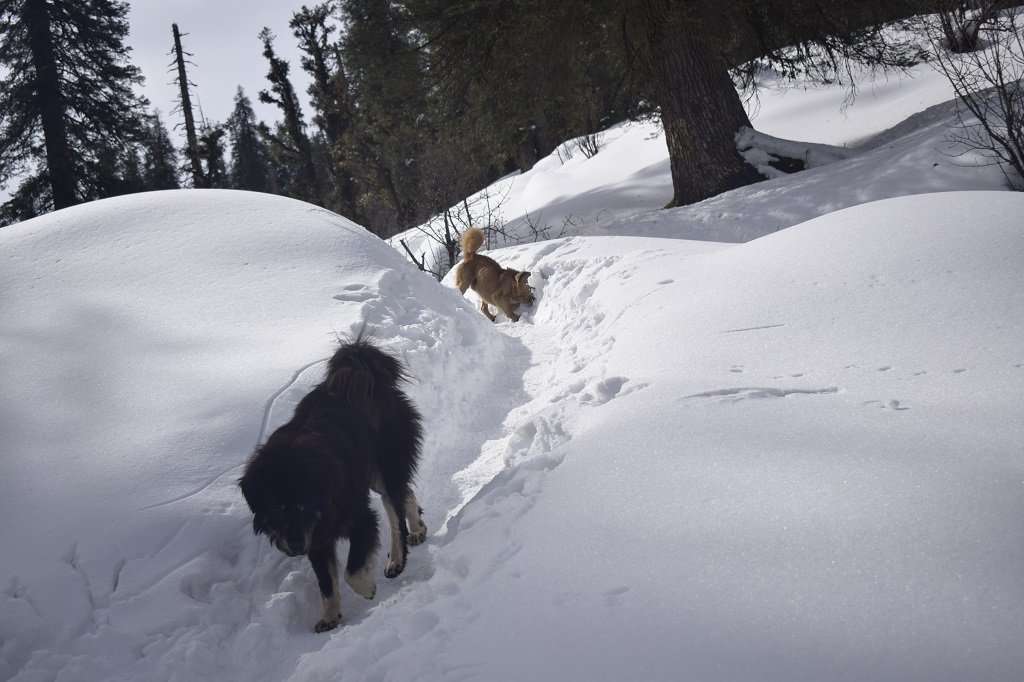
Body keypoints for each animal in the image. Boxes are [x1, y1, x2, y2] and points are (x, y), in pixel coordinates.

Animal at [240, 337, 428, 630]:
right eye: (277, 510)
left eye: (303, 507)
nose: (295, 547)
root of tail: (363, 371)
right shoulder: (316, 539)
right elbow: (326, 582)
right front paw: (330, 616)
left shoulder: (360, 519)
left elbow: (351, 571)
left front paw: (367, 588)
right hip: (373, 473)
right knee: (403, 492)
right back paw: (418, 528)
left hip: (385, 463)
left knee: (394, 511)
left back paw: (397, 559)